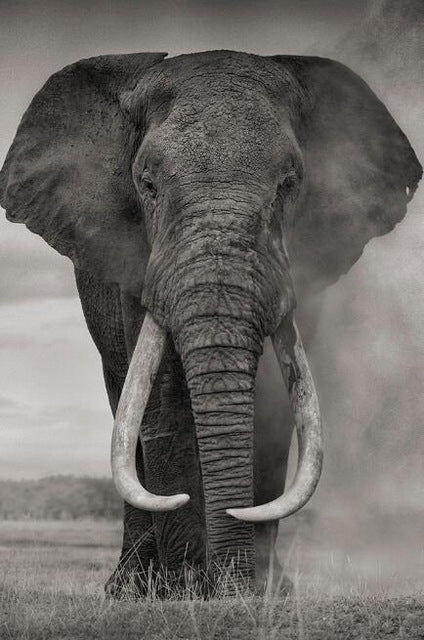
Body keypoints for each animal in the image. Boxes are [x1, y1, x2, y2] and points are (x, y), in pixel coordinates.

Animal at [1, 50, 421, 596]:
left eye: (289, 185)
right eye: (148, 186)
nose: (227, 581)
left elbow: (275, 400)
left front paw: (260, 593)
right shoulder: (134, 258)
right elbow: (161, 400)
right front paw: (186, 591)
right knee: (124, 402)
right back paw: (133, 589)